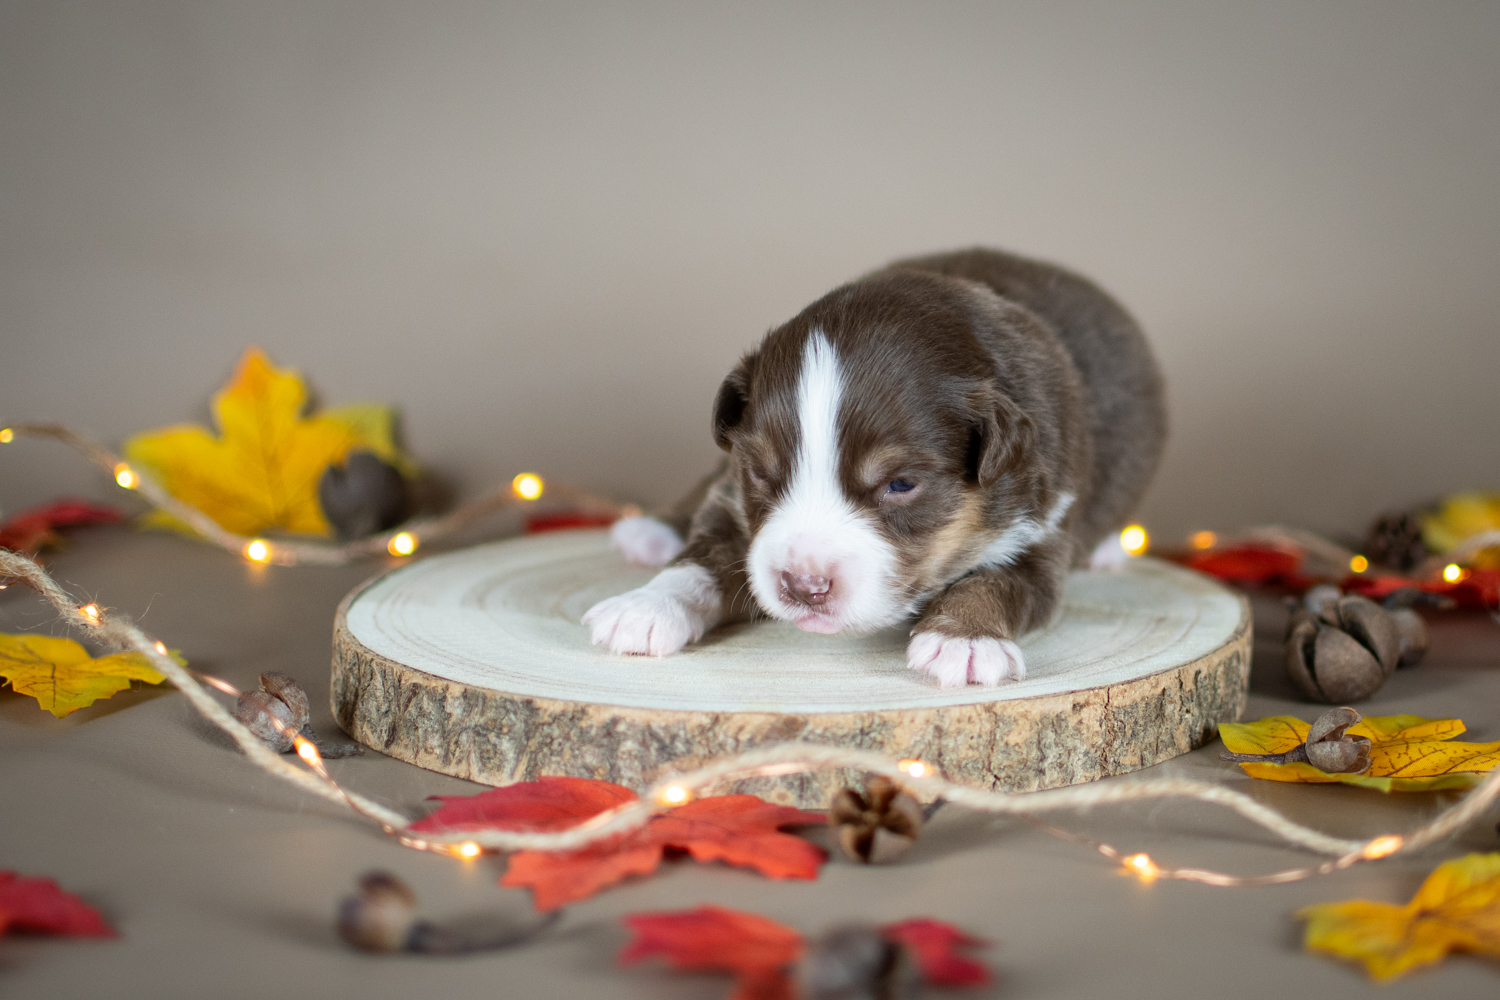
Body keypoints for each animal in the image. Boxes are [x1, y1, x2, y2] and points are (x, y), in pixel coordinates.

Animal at [579, 250, 1164, 689]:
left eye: (900, 485)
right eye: (761, 473)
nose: (805, 586)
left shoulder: (1041, 523)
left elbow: (998, 582)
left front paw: (965, 641)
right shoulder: (734, 492)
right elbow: (704, 555)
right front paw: (646, 606)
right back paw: (650, 531)